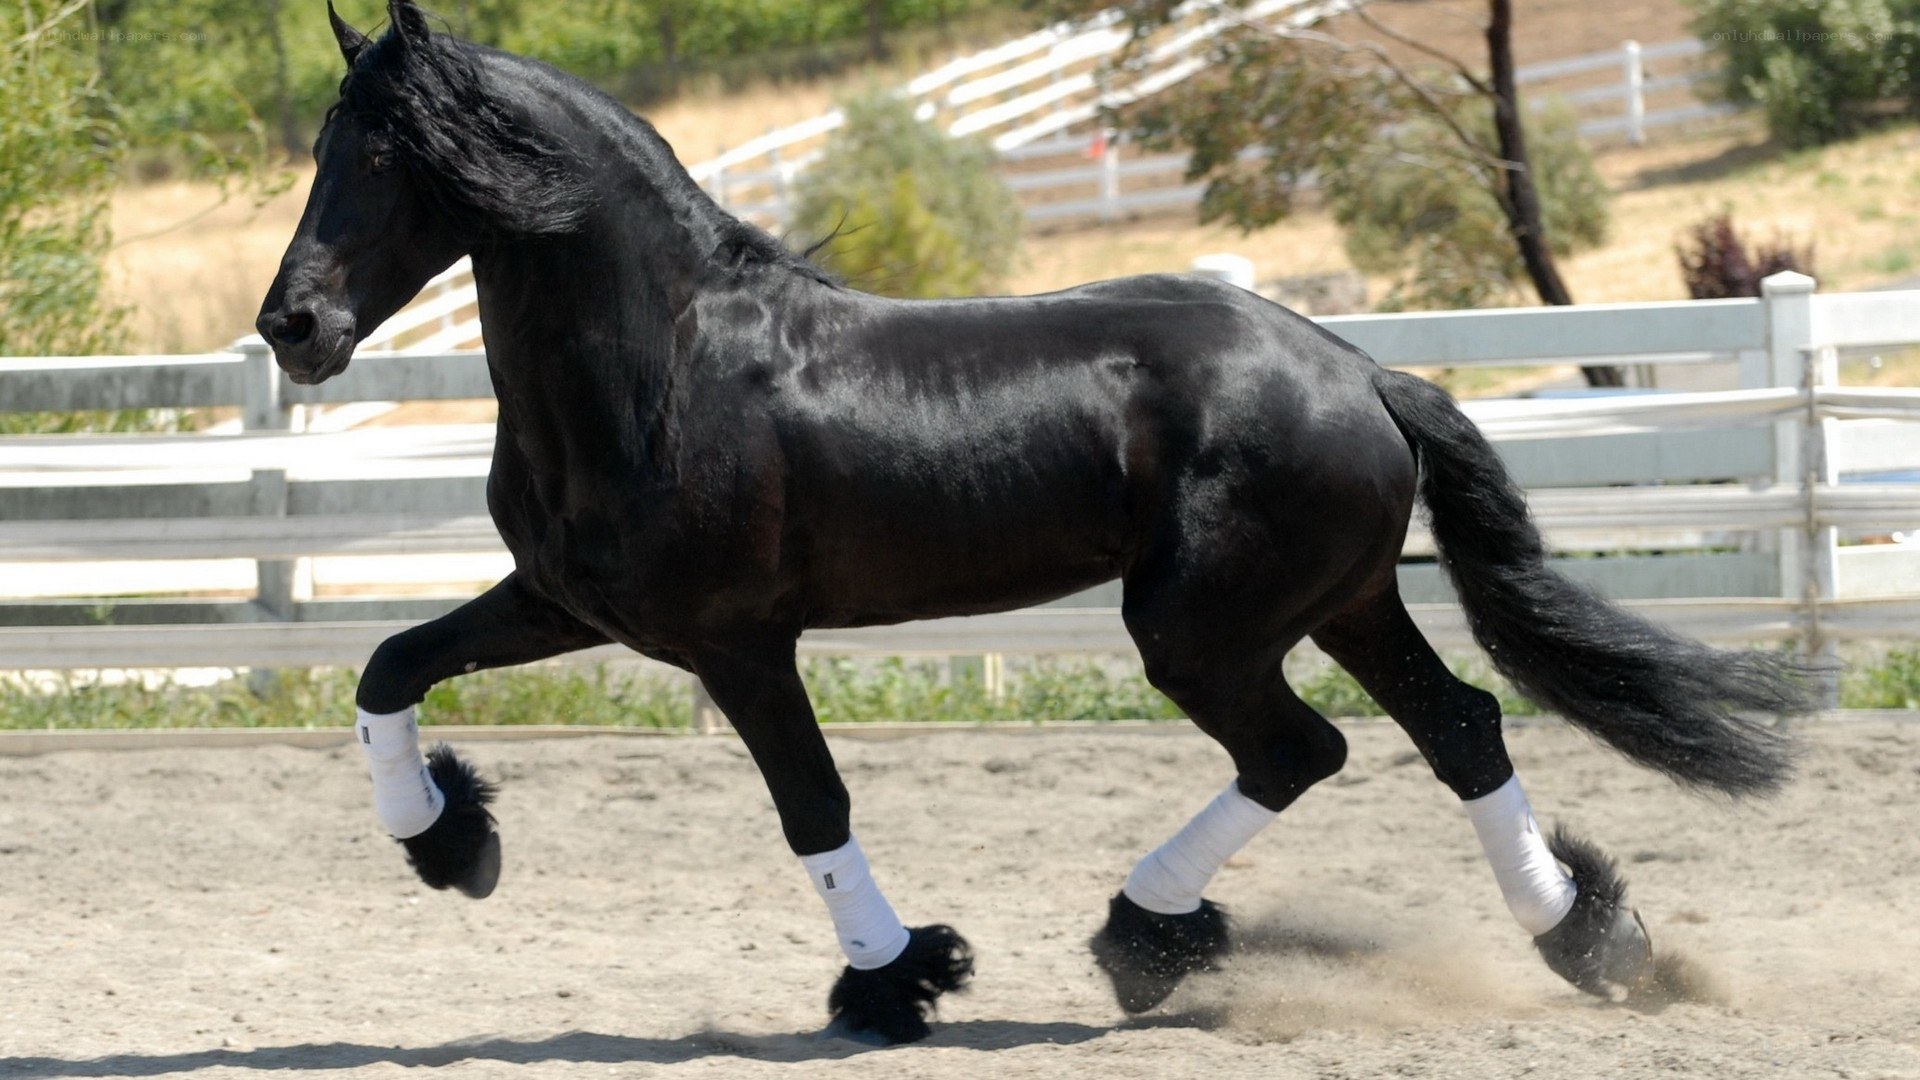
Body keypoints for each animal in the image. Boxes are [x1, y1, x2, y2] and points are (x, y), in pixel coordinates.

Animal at [257, 1, 1808, 1045]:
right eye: (329, 144)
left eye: (391, 155)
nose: (294, 328)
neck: (670, 361)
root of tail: (1358, 370)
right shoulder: (567, 606)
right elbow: (386, 666)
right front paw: (452, 843)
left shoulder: (739, 645)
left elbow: (813, 805)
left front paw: (895, 979)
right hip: (1345, 603)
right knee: (1460, 731)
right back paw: (1591, 943)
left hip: (1202, 627)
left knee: (1303, 751)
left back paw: (1146, 941)